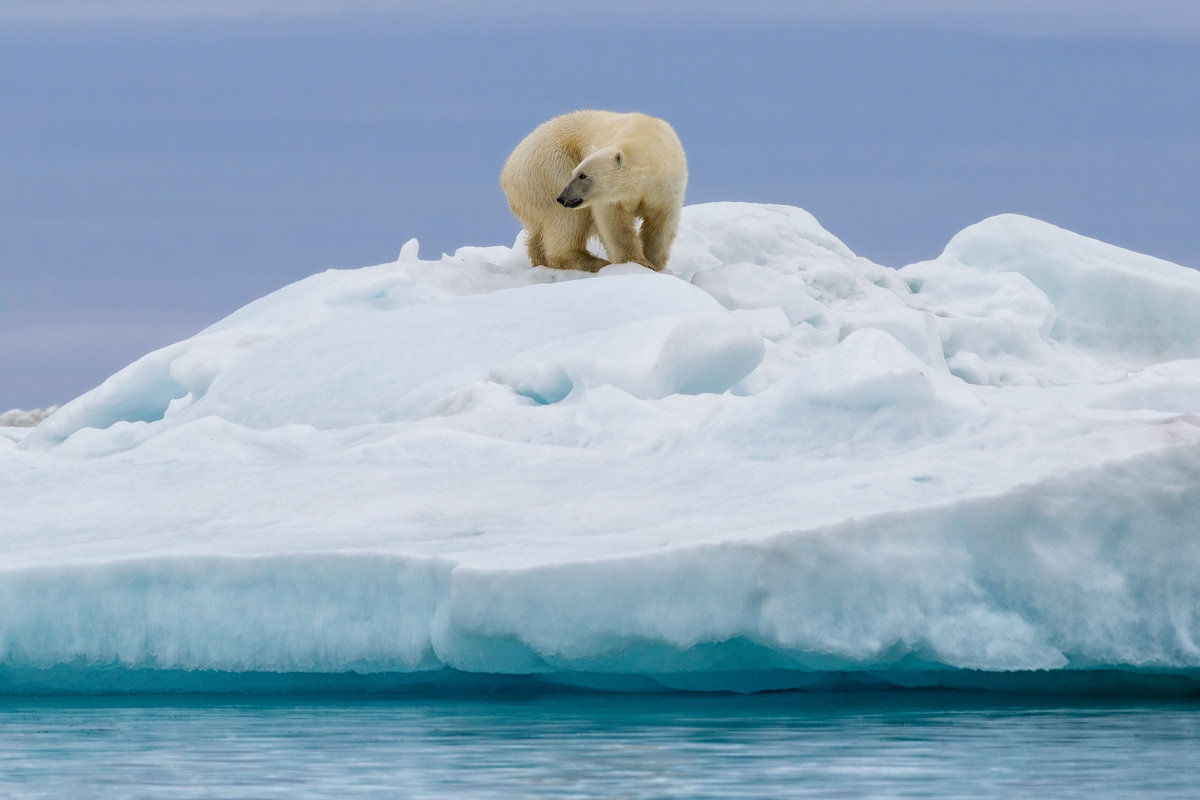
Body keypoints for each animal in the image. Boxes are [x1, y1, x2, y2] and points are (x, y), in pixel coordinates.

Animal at [496, 109, 686, 273]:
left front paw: (655, 264)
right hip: (550, 167)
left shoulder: (667, 187)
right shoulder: (611, 197)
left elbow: (661, 223)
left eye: (583, 175)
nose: (562, 198)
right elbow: (614, 223)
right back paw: (595, 262)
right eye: (576, 173)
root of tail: (506, 172)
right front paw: (635, 262)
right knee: (567, 220)